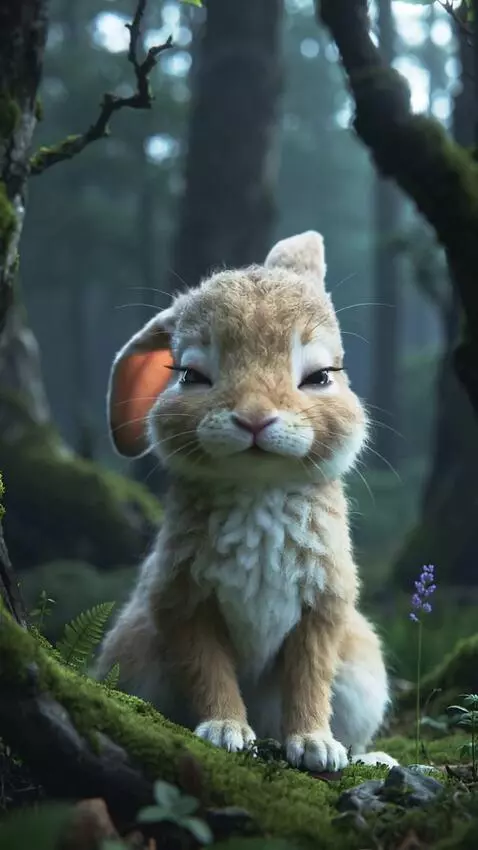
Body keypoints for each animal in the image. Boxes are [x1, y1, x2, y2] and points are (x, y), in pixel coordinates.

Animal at [96, 231, 398, 772]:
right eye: (190, 375)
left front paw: (316, 747)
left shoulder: (323, 607)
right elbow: (208, 670)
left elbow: (309, 677)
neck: (258, 487)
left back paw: (371, 759)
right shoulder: (184, 603)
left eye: (321, 376)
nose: (255, 418)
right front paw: (226, 732)